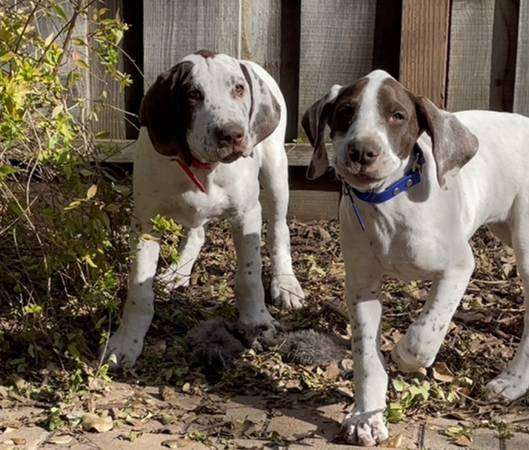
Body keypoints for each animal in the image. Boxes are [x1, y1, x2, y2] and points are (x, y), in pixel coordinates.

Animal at [304, 70, 528, 446]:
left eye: (398, 115)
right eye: (346, 111)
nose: (361, 151)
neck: (389, 204)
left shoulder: (458, 267)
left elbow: (425, 332)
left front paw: (404, 357)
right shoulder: (361, 285)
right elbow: (366, 357)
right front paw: (366, 418)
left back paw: (512, 382)